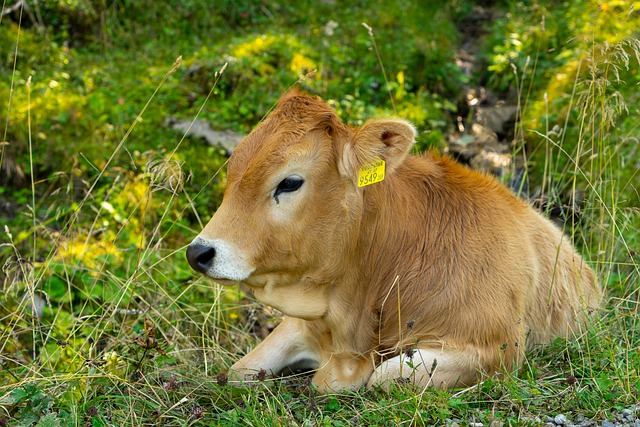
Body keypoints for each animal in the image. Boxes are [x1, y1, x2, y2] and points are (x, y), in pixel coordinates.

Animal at [184, 92, 600, 392]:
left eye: (289, 182)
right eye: (233, 169)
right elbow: (238, 370)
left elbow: (384, 375)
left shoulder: (498, 346)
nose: (198, 252)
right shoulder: (304, 325)